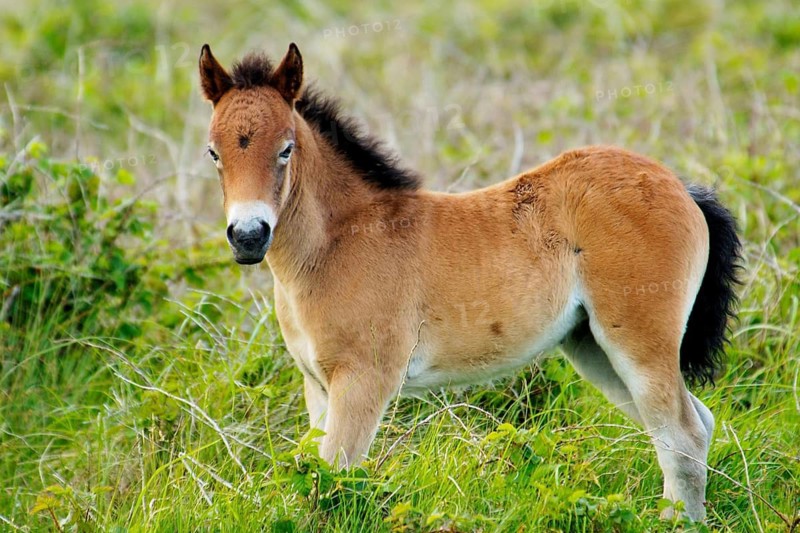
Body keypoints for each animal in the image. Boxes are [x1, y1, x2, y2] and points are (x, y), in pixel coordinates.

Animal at [198, 43, 741, 522]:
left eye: (286, 149)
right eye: (213, 153)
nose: (248, 236)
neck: (336, 244)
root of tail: (681, 187)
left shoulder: (363, 380)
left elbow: (333, 478)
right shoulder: (317, 385)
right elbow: (314, 472)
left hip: (639, 343)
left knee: (683, 435)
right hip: (592, 348)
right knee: (689, 428)